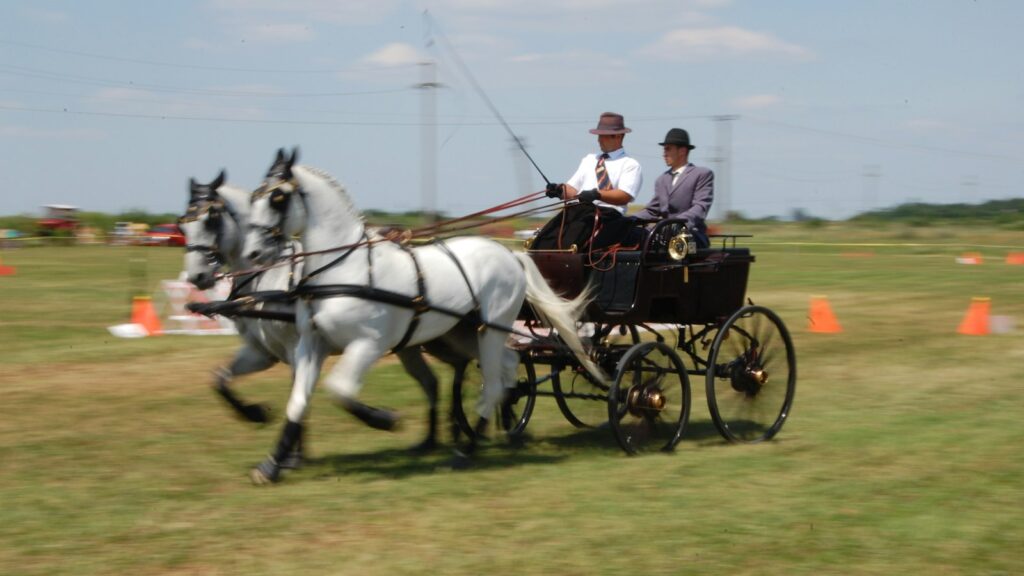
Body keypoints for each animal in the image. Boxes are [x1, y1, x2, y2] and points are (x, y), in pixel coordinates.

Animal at [242, 148, 604, 483]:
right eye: (255, 194)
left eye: (277, 196)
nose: (253, 253)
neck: (346, 268)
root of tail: (510, 255)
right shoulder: (311, 344)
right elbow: (298, 401)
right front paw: (271, 465)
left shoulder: (369, 344)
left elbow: (340, 389)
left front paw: (385, 420)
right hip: (468, 333)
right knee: (507, 369)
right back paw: (498, 430)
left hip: (492, 329)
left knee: (492, 382)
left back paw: (466, 450)